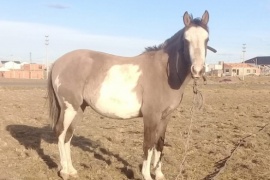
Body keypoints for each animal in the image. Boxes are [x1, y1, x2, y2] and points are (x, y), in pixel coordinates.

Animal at [48, 10, 213, 180]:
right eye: (186, 40)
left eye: (207, 39)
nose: (198, 70)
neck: (164, 73)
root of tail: (58, 62)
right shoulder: (151, 116)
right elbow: (148, 144)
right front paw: (146, 175)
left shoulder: (165, 117)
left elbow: (159, 144)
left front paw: (159, 174)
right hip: (69, 108)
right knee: (60, 132)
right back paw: (64, 171)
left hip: (79, 108)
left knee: (68, 135)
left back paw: (72, 170)